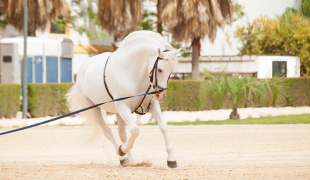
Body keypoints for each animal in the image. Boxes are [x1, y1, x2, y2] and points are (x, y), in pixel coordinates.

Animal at [66, 30, 180, 167]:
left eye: (171, 71)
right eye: (160, 69)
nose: (160, 94)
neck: (131, 71)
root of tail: (83, 69)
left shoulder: (151, 105)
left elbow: (163, 126)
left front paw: (171, 159)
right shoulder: (123, 107)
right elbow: (135, 130)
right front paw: (122, 150)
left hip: (118, 113)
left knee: (122, 134)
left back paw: (131, 160)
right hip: (95, 110)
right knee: (108, 131)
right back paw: (122, 156)